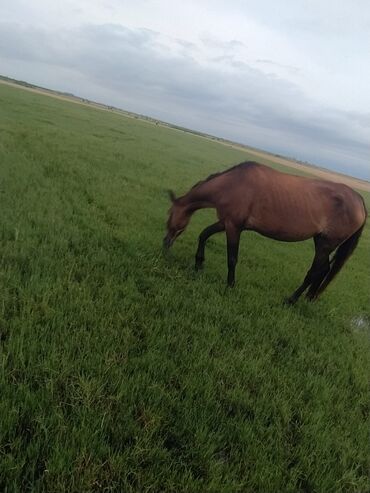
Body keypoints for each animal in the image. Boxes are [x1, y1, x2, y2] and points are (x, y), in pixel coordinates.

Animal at [163, 160, 368, 302]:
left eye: (169, 215)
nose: (165, 245)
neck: (232, 184)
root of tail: (358, 199)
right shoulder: (226, 222)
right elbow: (204, 234)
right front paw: (198, 264)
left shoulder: (234, 227)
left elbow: (232, 258)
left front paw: (230, 285)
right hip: (321, 241)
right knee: (324, 270)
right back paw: (308, 298)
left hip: (326, 244)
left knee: (316, 271)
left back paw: (291, 300)